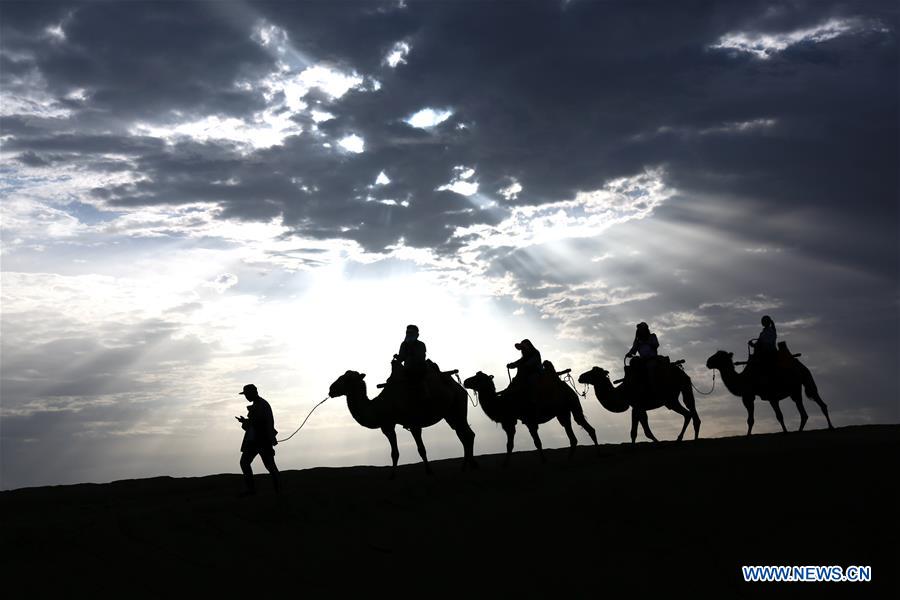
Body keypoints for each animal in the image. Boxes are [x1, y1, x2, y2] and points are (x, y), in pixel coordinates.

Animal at [328, 360, 478, 478]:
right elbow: (394, 452)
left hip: (458, 407)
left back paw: (468, 466)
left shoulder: (413, 422)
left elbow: (421, 449)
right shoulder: (388, 425)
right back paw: (468, 466)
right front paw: (393, 475)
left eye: (346, 379)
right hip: (451, 414)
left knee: (466, 434)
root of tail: (459, 387)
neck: (382, 405)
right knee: (464, 434)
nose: (331, 389)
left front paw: (429, 471)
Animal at [464, 370, 596, 464]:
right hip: (563, 412)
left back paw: (596, 454)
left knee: (583, 426)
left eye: (478, 378)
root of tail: (567, 387)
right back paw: (569, 459)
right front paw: (505, 464)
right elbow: (510, 444)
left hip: (571, 403)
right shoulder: (511, 421)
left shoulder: (528, 420)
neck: (503, 403)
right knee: (575, 432)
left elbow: (537, 442)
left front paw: (544, 461)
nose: (465, 381)